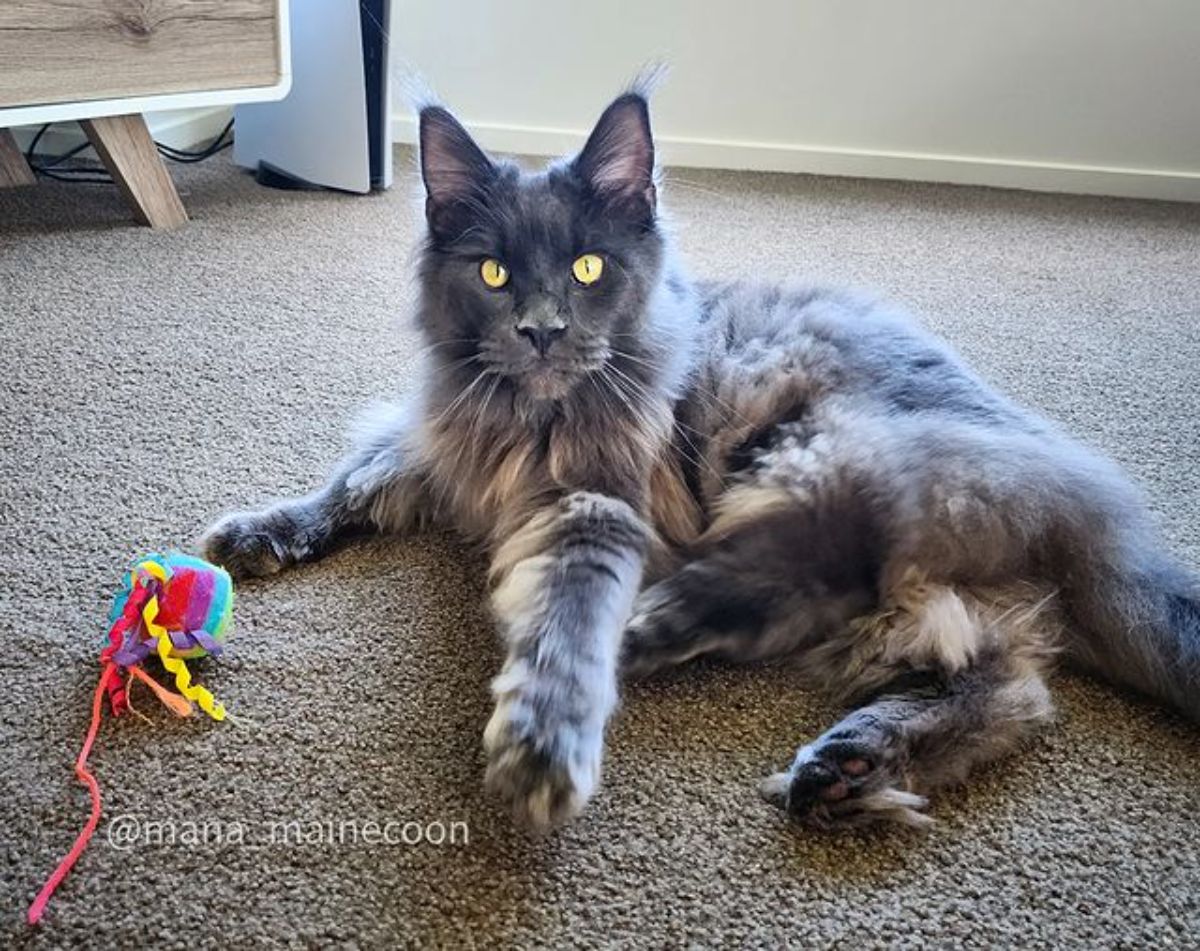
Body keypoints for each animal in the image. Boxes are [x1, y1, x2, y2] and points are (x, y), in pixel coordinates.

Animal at [204, 87, 1200, 830]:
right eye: (493, 273)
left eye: (590, 269)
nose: (541, 329)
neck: (528, 418)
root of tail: (1100, 524)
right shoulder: (434, 441)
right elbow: (351, 484)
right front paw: (259, 531)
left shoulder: (592, 506)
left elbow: (566, 620)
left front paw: (545, 736)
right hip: (913, 595)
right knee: (1012, 691)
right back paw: (848, 767)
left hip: (813, 457)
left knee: (794, 581)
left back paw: (651, 638)